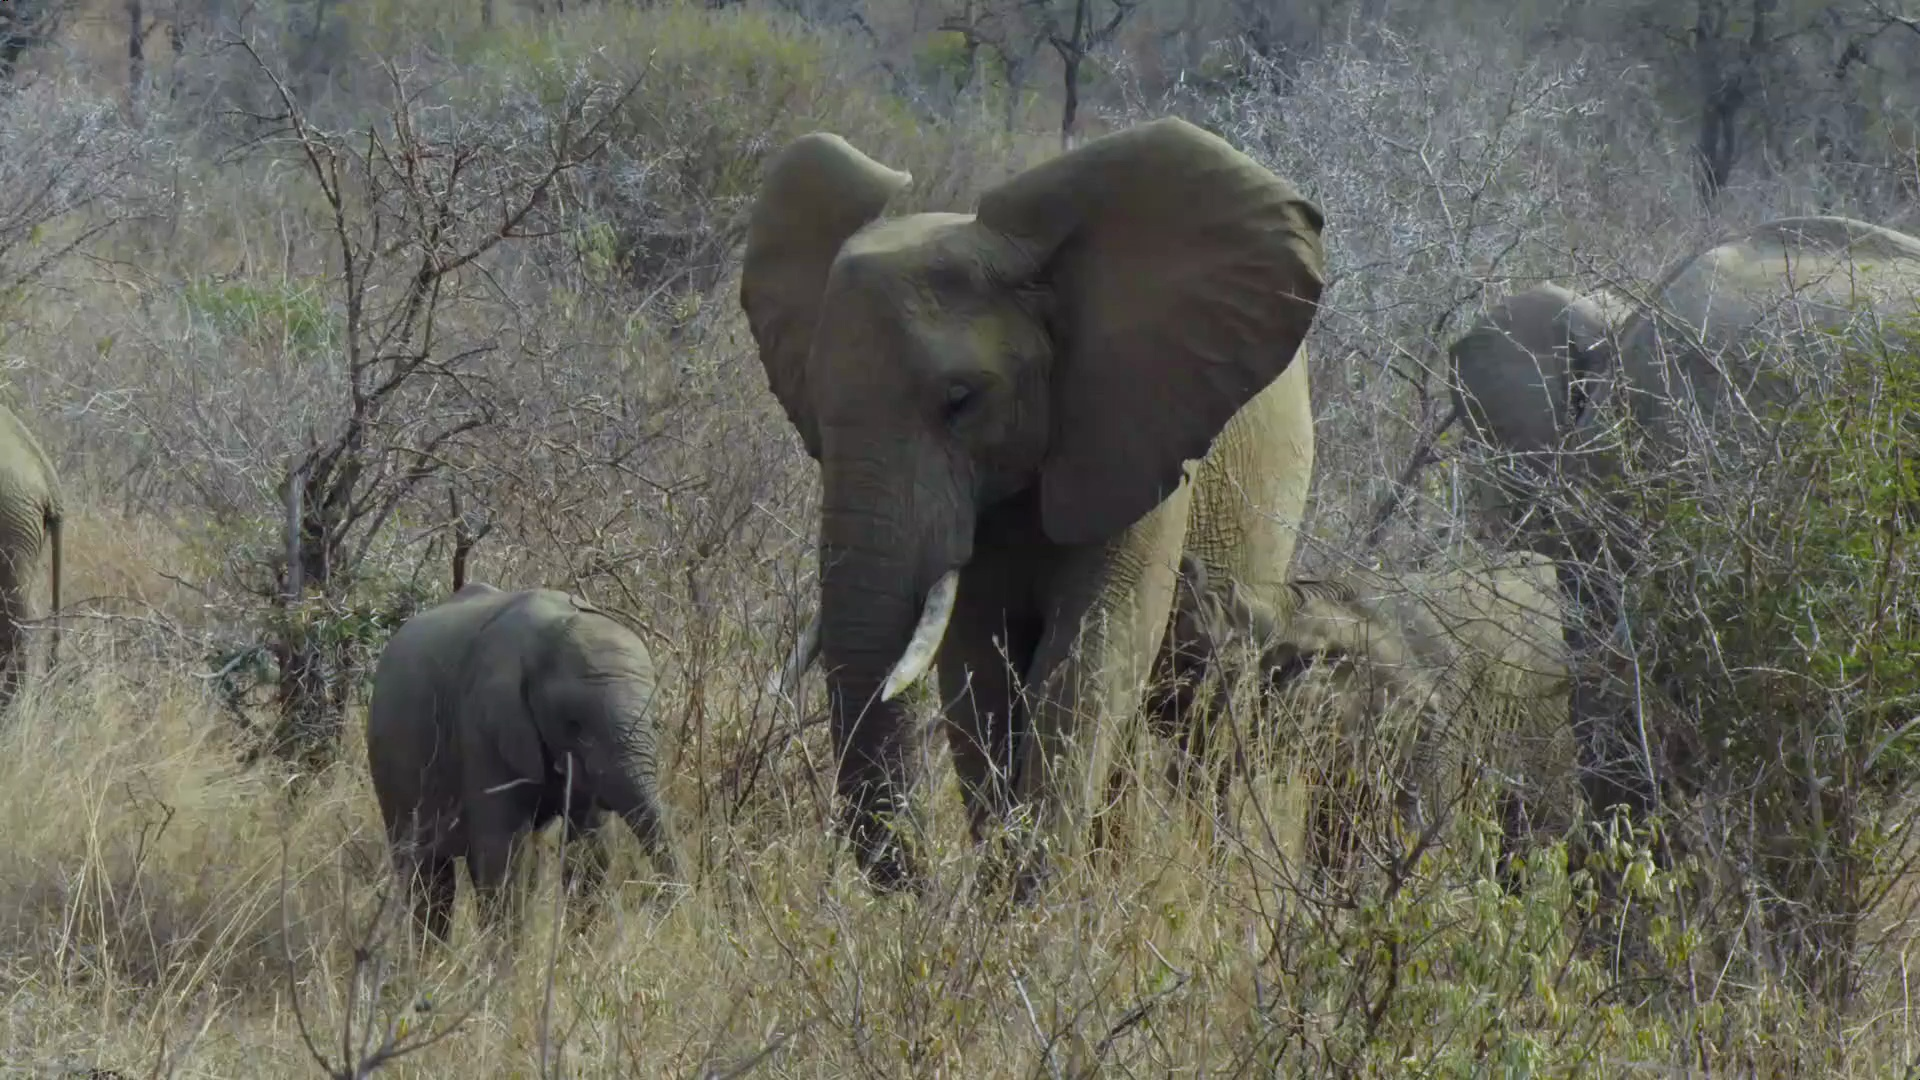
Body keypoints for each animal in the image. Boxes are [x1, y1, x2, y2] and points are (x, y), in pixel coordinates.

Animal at [365, 583, 683, 944]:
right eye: (574, 725)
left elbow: (590, 846)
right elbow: (501, 855)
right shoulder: (481, 728)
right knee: (425, 872)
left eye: (656, 723)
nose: (653, 902)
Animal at [741, 117, 1327, 896]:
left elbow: (1093, 652)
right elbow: (977, 670)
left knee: (1201, 715)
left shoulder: (1133, 429)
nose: (923, 888)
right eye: (814, 408)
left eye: (961, 400)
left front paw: (1028, 902)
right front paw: (1012, 896)